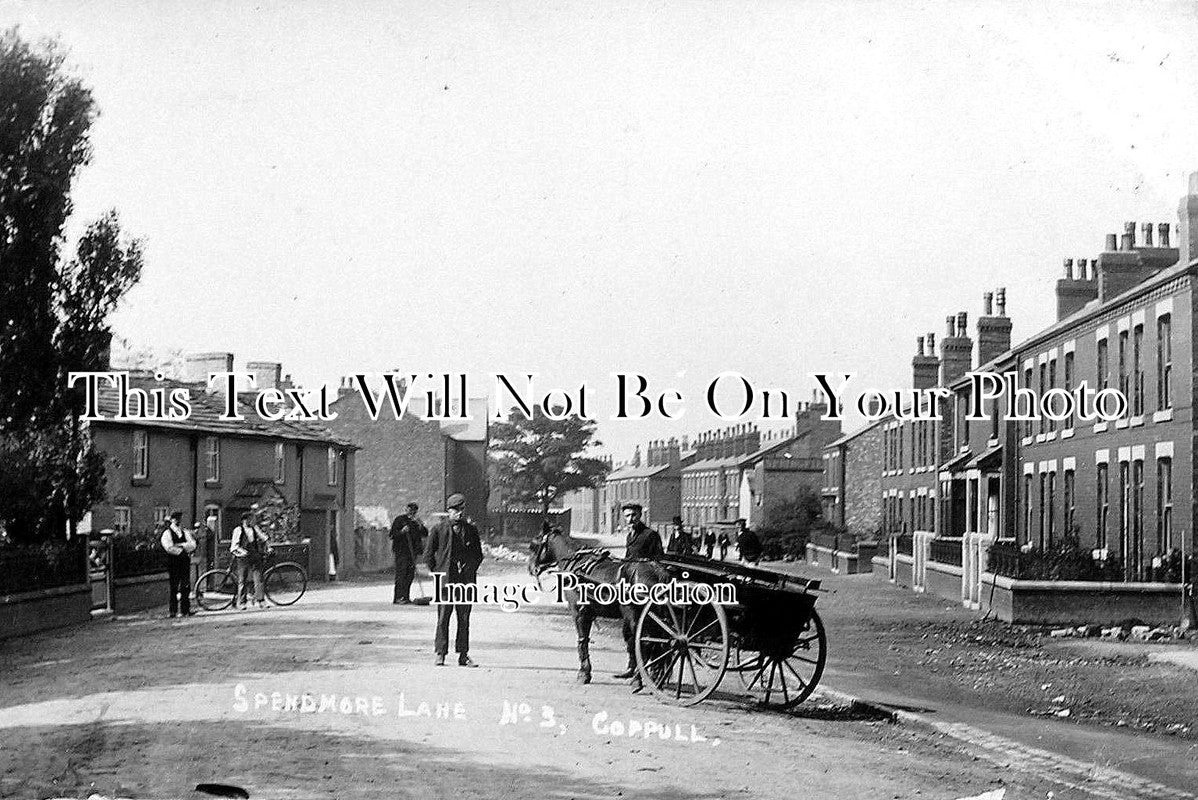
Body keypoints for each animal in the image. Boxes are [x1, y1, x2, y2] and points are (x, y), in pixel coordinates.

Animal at [529, 531, 670, 689]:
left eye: (534, 546)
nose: (531, 568)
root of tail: (657, 571)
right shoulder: (589, 614)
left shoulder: (579, 613)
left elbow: (582, 641)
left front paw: (584, 673)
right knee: (658, 645)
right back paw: (655, 678)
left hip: (637, 618)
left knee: (645, 644)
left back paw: (637, 679)